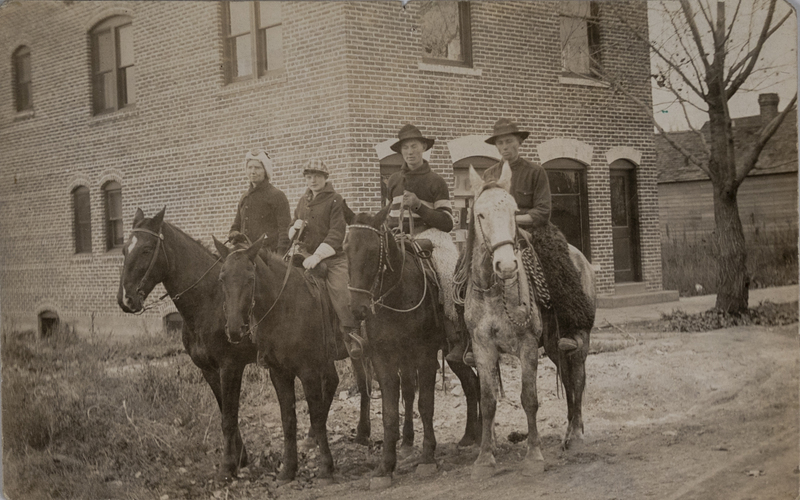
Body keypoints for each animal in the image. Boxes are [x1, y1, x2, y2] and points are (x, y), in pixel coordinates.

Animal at [214, 234, 374, 484]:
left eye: (250, 278)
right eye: (222, 279)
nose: (234, 330)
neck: (285, 308)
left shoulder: (308, 371)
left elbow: (316, 415)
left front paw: (326, 467)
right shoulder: (279, 373)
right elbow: (288, 419)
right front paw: (288, 469)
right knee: (351, 382)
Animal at [340, 205, 478, 490]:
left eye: (374, 250)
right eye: (346, 248)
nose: (358, 308)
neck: (397, 294)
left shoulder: (424, 357)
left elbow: (425, 404)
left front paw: (427, 457)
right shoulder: (384, 359)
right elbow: (390, 413)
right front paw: (385, 467)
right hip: (452, 356)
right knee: (472, 383)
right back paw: (471, 436)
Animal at [462, 161, 592, 480]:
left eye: (513, 211)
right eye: (480, 214)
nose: (507, 265)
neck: (495, 291)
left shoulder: (528, 346)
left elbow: (529, 398)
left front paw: (534, 455)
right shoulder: (482, 348)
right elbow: (488, 401)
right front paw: (484, 458)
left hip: (580, 341)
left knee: (578, 379)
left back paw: (576, 436)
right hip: (556, 347)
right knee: (568, 380)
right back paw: (568, 433)